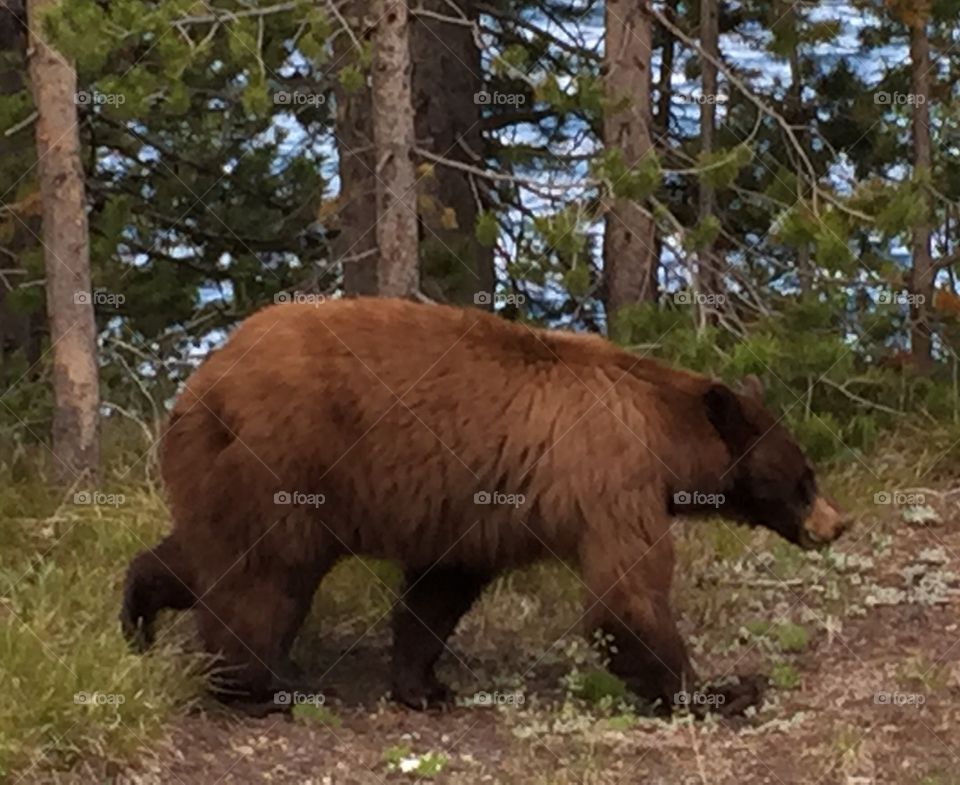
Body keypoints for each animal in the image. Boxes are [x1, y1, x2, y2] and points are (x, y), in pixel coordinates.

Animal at [120, 296, 850, 713]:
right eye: (804, 477)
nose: (837, 523)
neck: (664, 432)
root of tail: (197, 385)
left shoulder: (471, 510)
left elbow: (438, 590)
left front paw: (424, 686)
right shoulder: (612, 474)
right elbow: (626, 595)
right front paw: (721, 689)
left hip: (227, 474)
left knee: (205, 555)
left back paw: (138, 615)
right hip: (283, 462)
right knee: (261, 577)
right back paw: (260, 688)